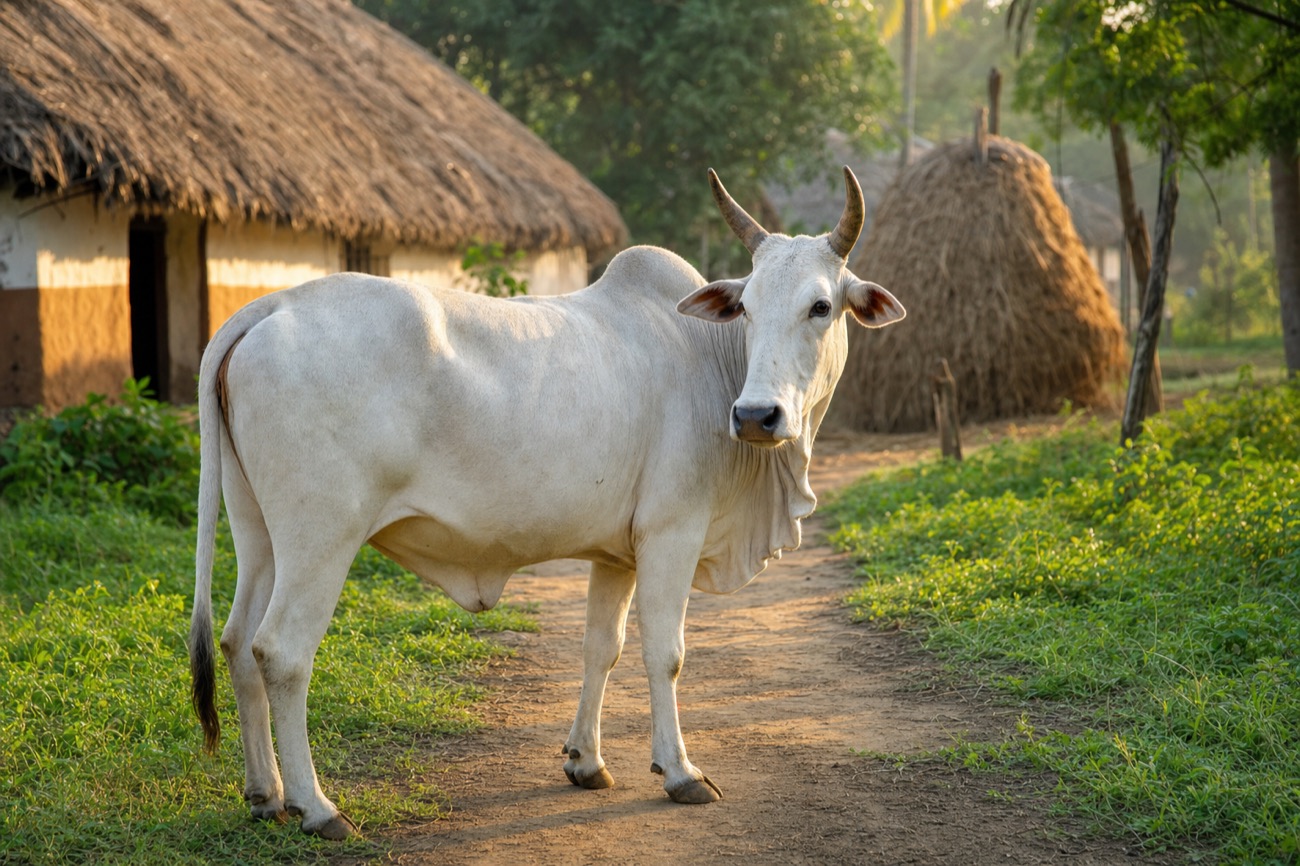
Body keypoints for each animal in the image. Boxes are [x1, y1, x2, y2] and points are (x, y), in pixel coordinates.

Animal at [189, 167, 905, 839]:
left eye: (820, 306)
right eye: (748, 307)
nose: (756, 416)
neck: (709, 356)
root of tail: (271, 307)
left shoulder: (617, 554)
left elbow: (601, 647)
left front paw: (585, 762)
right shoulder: (671, 533)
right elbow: (665, 652)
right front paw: (679, 771)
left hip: (258, 534)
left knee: (235, 643)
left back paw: (265, 796)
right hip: (320, 537)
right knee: (281, 652)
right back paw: (316, 807)